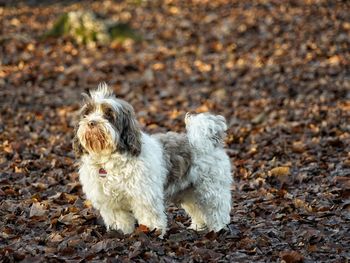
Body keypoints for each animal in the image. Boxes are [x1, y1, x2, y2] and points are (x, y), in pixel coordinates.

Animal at [73, 83, 232, 236]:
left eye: (108, 114)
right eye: (87, 113)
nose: (91, 122)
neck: (108, 159)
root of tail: (209, 139)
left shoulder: (145, 197)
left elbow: (149, 218)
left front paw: (152, 233)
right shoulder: (112, 204)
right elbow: (119, 220)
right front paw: (120, 234)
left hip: (211, 188)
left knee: (217, 209)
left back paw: (218, 229)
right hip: (189, 191)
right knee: (197, 210)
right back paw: (199, 227)